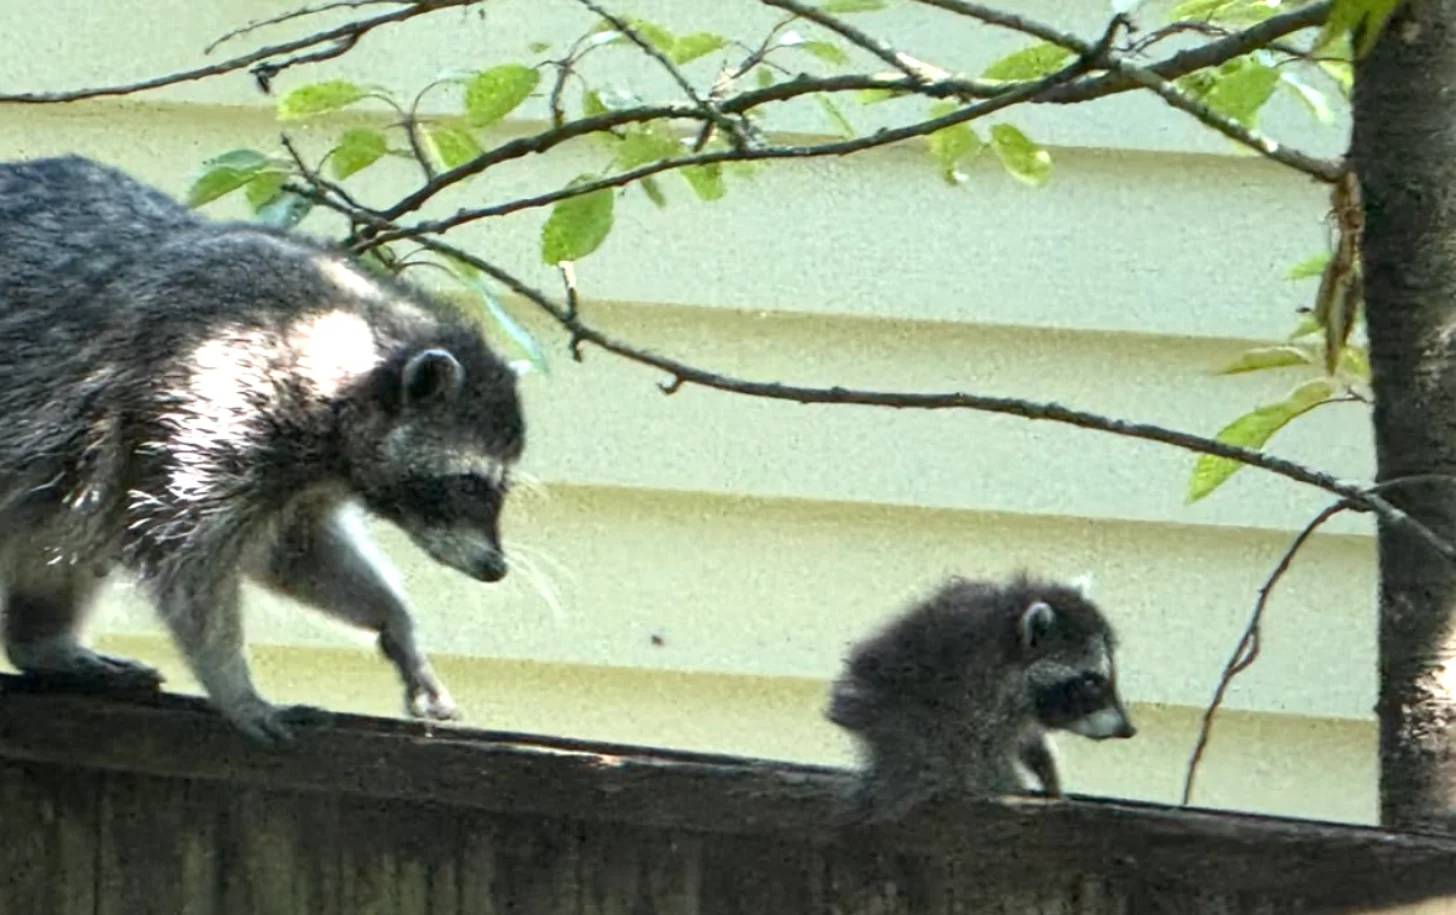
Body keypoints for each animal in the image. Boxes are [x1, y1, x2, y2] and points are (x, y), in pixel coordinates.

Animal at [0, 155, 526, 744]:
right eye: (469, 484)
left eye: (500, 485)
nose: (495, 568)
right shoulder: (202, 401)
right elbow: (188, 564)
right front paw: (234, 687)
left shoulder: (296, 475)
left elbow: (297, 553)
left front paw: (396, 622)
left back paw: (41, 641)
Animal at [826, 573, 1135, 821]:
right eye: (1091, 681)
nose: (1128, 730)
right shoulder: (979, 702)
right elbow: (989, 758)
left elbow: (1028, 743)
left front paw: (1049, 775)